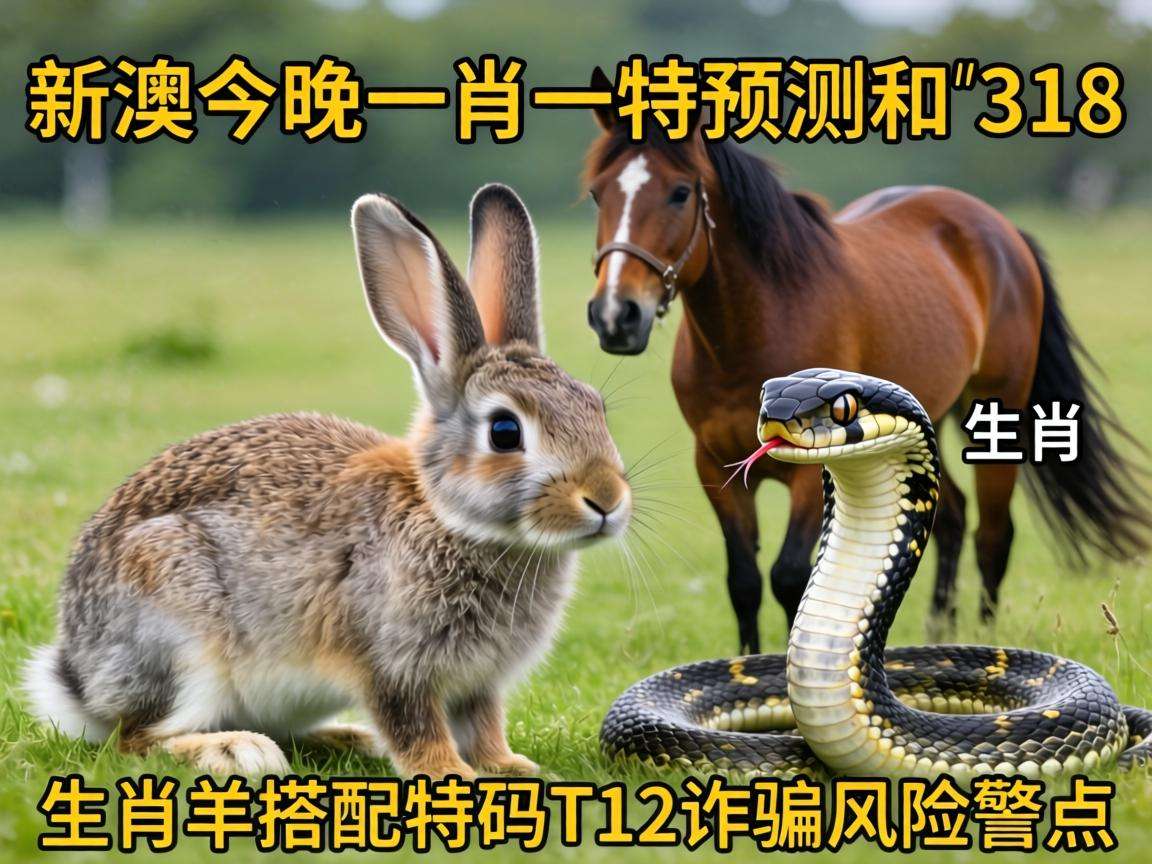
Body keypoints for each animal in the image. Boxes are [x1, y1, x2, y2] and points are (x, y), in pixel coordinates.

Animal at [582, 97, 1150, 654]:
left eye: (680, 193)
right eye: (596, 194)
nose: (615, 315)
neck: (759, 323)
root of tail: (1003, 231)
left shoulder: (810, 473)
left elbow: (788, 575)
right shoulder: (712, 464)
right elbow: (742, 580)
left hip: (994, 411)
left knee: (994, 535)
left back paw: (986, 639)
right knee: (953, 518)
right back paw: (939, 633)